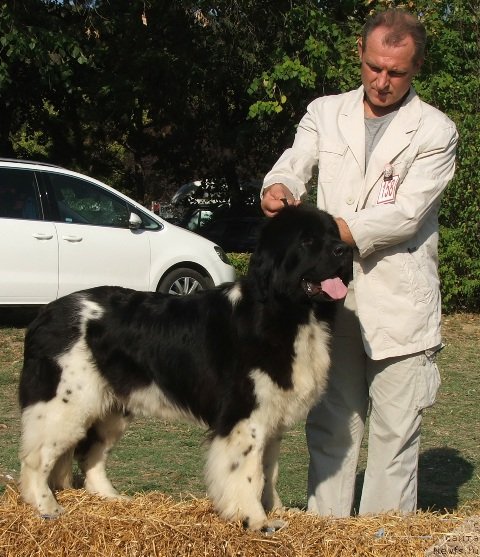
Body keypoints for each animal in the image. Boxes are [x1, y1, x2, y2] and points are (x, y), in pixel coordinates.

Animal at [17, 204, 352, 528]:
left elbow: (269, 470)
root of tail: (44, 315)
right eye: (307, 240)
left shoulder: (272, 416)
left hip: (111, 407)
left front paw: (277, 511)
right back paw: (47, 507)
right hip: (66, 403)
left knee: (90, 454)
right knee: (36, 457)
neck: (288, 312)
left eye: (333, 233)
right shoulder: (245, 416)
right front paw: (256, 520)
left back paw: (112, 499)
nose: (344, 249)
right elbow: (248, 472)